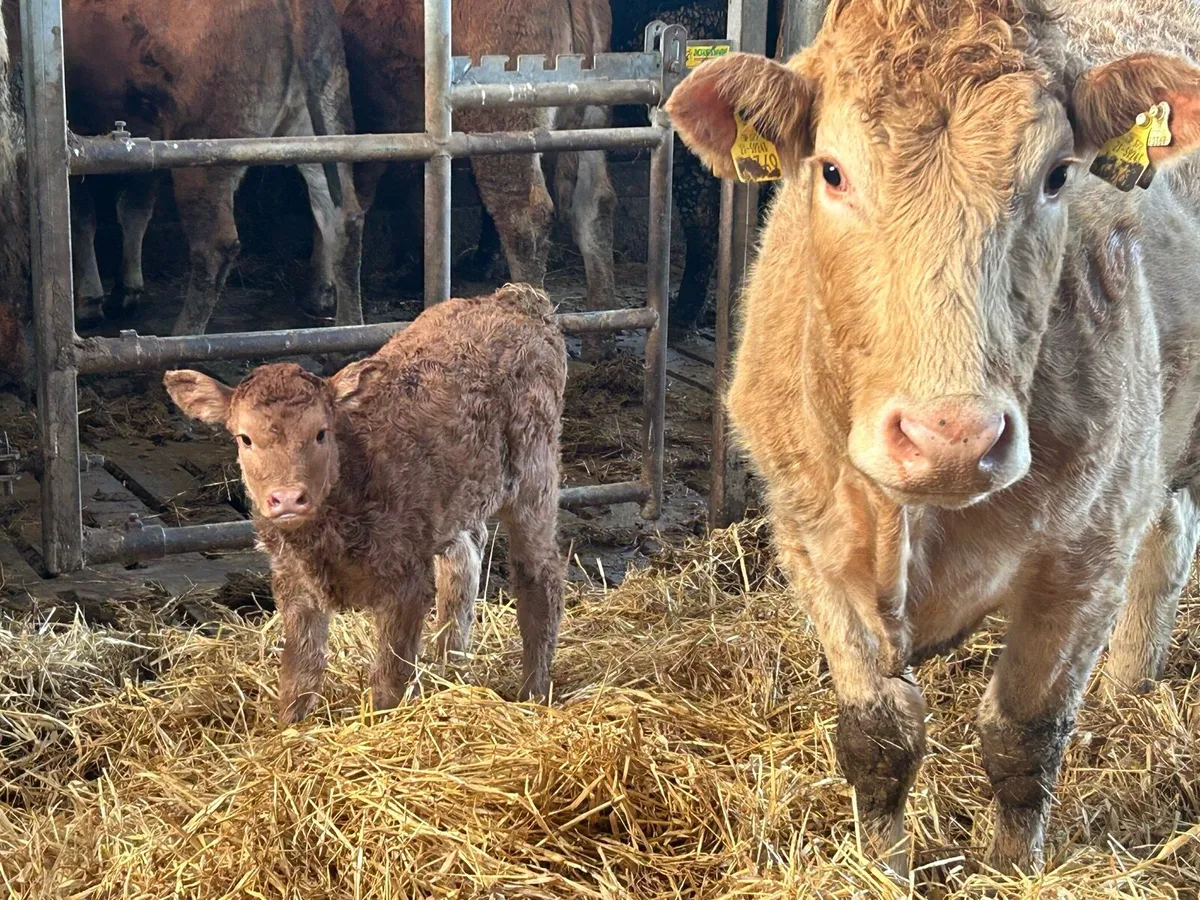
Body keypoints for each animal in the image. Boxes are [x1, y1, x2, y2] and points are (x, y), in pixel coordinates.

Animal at [52, 0, 364, 335]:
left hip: (204, 152)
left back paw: (182, 337)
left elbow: (81, 215)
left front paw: (89, 302)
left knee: (215, 246)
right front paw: (125, 292)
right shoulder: (145, 137)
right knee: (343, 219)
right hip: (323, 126)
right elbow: (134, 211)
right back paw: (349, 329)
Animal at [163, 283, 567, 722]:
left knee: (540, 576)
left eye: (321, 433)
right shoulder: (292, 582)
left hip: (534, 476)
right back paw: (451, 667)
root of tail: (517, 298)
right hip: (457, 498)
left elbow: (389, 679)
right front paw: (288, 729)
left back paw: (533, 692)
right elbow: (299, 673)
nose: (287, 498)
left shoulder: (406, 581)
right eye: (245, 438)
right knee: (463, 561)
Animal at [667, 0, 1200, 876]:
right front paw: (879, 868)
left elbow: (1023, 739)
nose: (952, 436)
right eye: (832, 171)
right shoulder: (812, 544)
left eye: (1058, 175)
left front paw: (1013, 870)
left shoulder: (1085, 553)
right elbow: (877, 739)